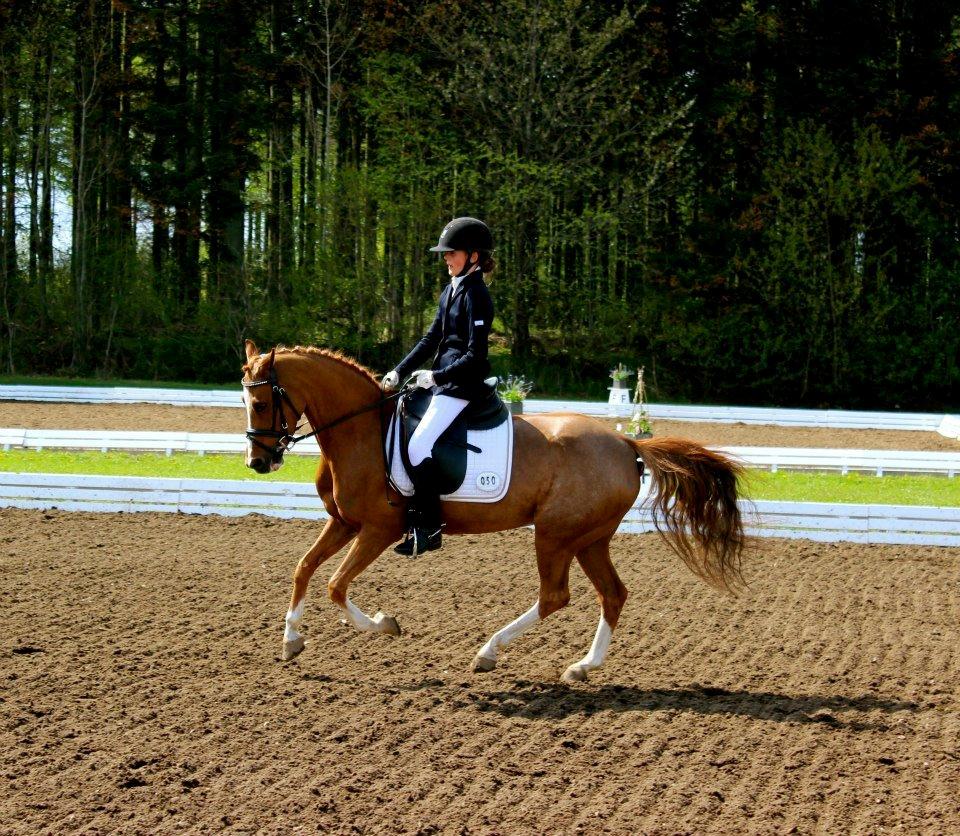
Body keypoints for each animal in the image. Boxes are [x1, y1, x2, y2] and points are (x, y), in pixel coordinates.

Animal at [241, 340, 746, 682]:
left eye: (262, 402)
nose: (259, 463)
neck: (363, 430)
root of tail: (627, 443)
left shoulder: (379, 529)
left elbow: (336, 585)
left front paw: (385, 625)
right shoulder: (344, 523)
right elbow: (304, 569)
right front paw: (290, 641)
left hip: (556, 535)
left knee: (555, 596)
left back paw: (488, 652)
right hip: (589, 538)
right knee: (613, 594)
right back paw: (582, 665)